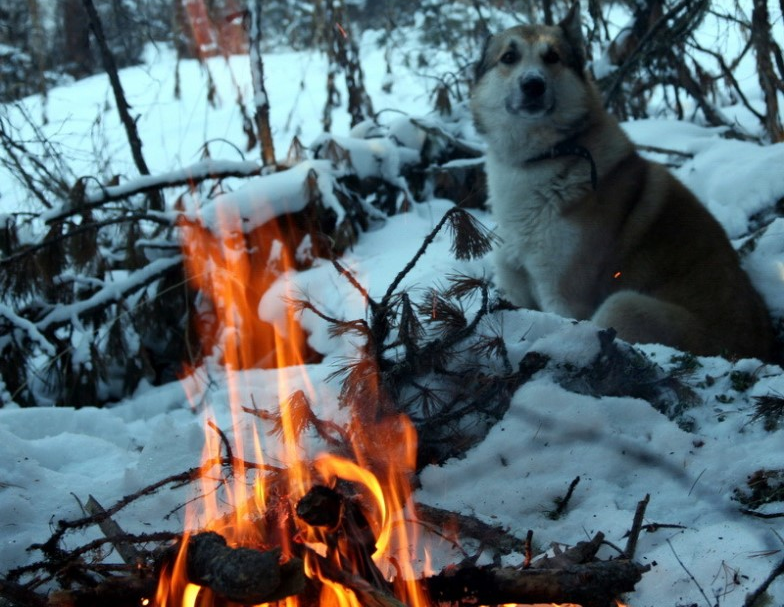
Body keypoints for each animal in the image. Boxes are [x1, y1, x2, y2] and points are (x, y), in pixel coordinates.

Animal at [472, 2, 772, 360]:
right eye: (508, 57)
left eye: (553, 57)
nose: (533, 84)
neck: (543, 158)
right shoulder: (516, 288)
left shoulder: (564, 296)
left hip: (622, 305)